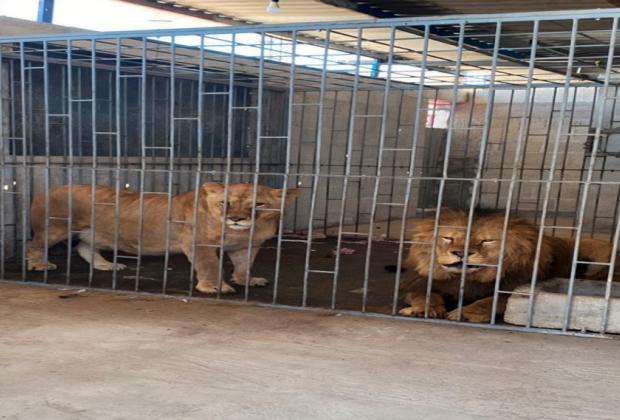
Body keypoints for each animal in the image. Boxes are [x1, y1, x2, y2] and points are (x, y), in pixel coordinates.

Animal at [27, 182, 300, 294]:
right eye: (226, 202)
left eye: (259, 204)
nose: (236, 218)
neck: (240, 232)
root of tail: (47, 189)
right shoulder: (198, 243)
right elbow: (210, 266)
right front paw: (214, 287)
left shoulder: (246, 247)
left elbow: (244, 266)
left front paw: (247, 280)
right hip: (55, 228)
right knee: (34, 244)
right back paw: (39, 264)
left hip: (96, 234)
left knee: (84, 248)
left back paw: (106, 265)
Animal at [400, 210, 612, 322]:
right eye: (448, 238)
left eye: (487, 241)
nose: (461, 253)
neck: (467, 279)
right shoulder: (416, 283)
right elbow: (424, 294)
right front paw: (424, 308)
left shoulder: (511, 289)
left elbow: (489, 301)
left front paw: (465, 313)